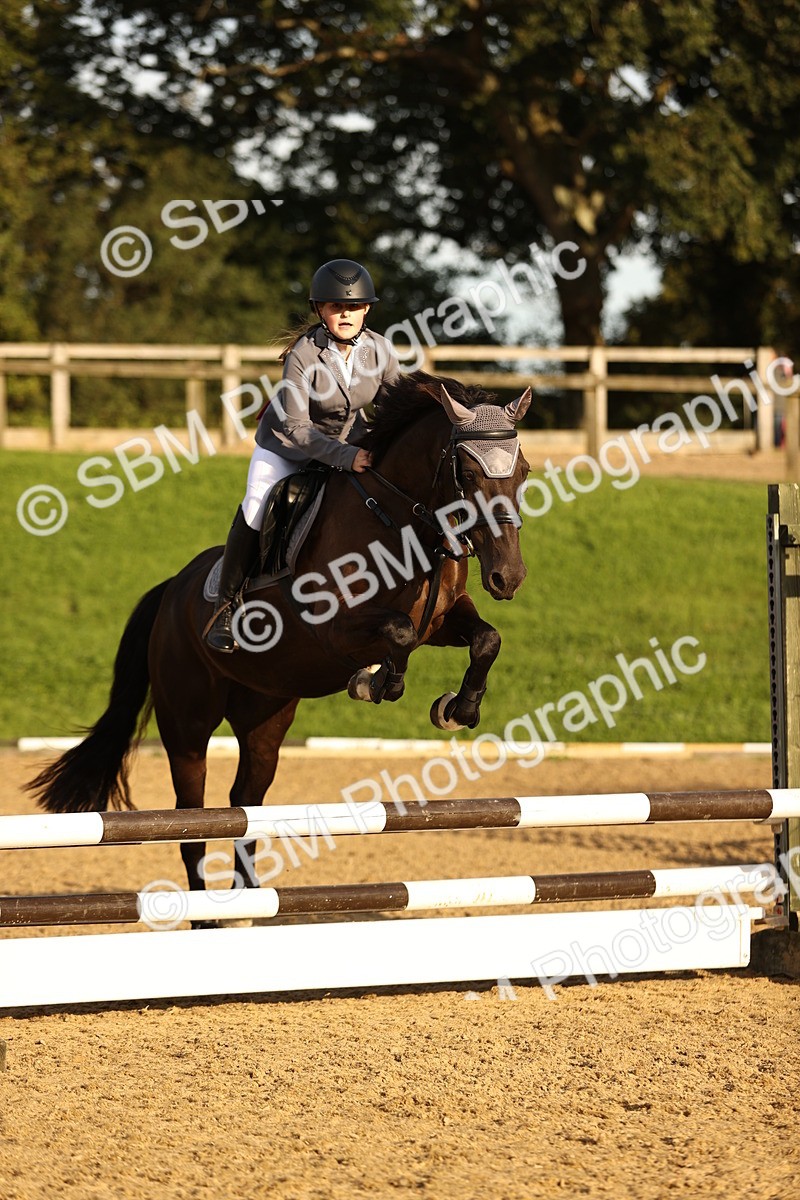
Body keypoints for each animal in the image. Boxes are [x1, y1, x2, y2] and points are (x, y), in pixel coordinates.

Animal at [27, 371, 532, 896]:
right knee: (191, 821)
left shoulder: (442, 619)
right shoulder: (335, 630)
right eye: (468, 474)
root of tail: (171, 590)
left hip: (264, 715)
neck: (403, 521)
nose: (508, 577)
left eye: (524, 471)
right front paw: (374, 682)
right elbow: (400, 634)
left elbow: (485, 639)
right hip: (187, 722)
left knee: (245, 806)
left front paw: (458, 709)